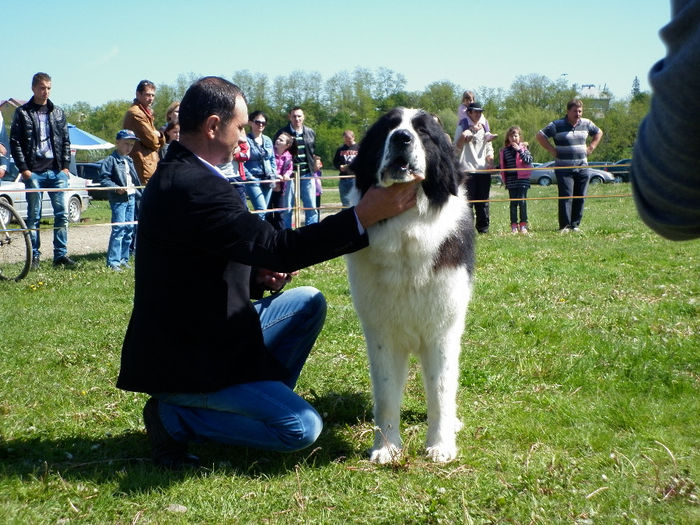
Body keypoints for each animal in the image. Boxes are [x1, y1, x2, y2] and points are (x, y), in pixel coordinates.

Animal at [346, 107, 476, 462]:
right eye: (388, 128)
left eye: (423, 132)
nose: (402, 138)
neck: (407, 228)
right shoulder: (381, 334)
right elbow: (387, 394)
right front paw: (386, 449)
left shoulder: (442, 331)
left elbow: (441, 391)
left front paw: (441, 446)